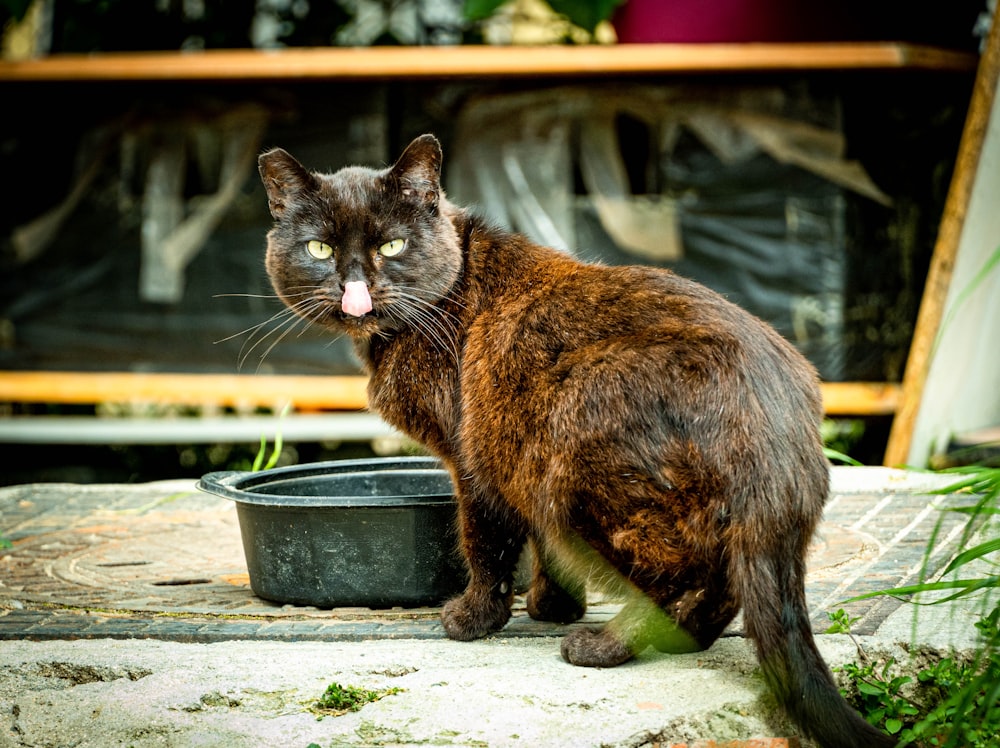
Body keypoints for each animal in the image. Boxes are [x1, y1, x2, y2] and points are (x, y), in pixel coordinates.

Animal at [258, 134, 892, 748]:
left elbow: (486, 545)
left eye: (392, 245)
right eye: (319, 249)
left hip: (579, 453)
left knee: (680, 574)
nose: (355, 286)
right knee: (720, 582)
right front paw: (553, 607)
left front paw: (475, 620)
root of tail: (779, 438)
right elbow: (541, 545)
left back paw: (605, 647)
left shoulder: (475, 458)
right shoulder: (517, 446)